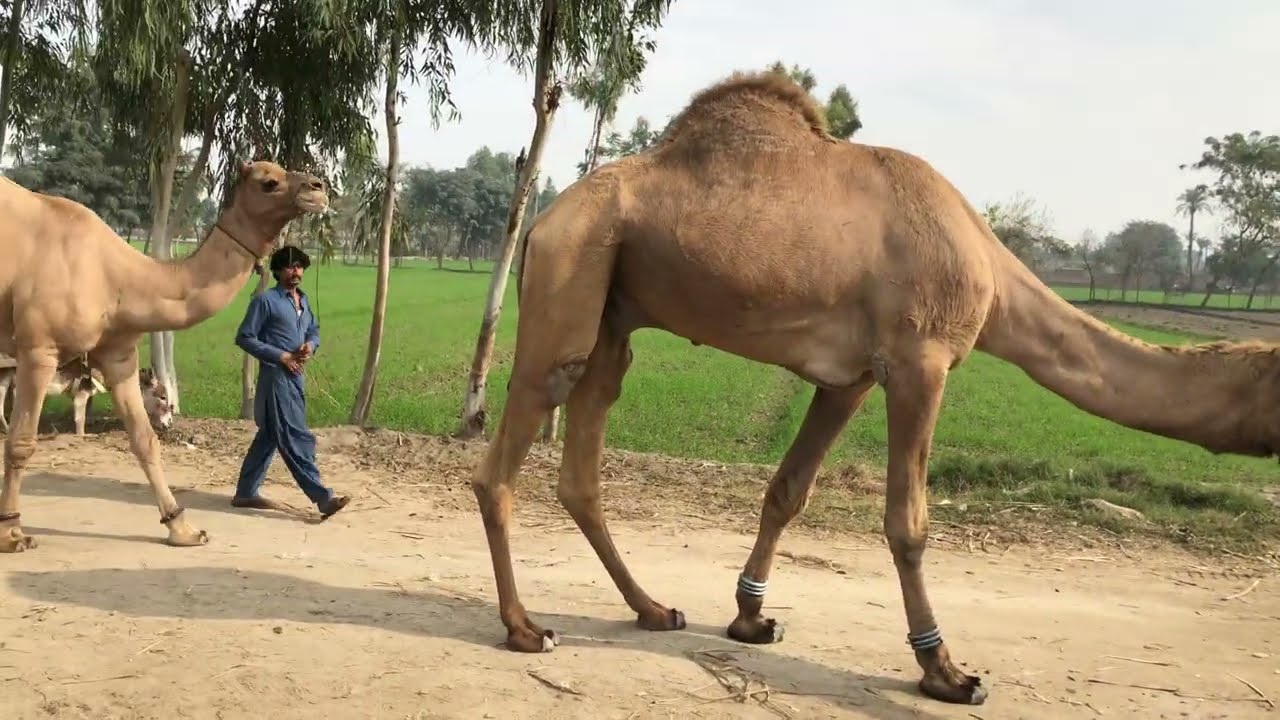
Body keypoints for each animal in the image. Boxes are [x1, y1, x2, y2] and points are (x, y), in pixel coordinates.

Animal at [0, 355, 175, 436]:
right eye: (163, 397)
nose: (170, 424)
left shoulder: (85, 396)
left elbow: (84, 414)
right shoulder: (81, 394)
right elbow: (80, 418)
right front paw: (83, 436)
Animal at [467, 71, 1280, 707]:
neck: (990, 273)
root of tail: (542, 220)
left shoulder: (852, 378)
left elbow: (788, 490)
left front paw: (751, 619)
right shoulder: (921, 361)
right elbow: (908, 522)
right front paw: (945, 669)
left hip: (615, 303)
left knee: (584, 456)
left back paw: (654, 609)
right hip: (573, 268)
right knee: (509, 446)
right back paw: (525, 627)